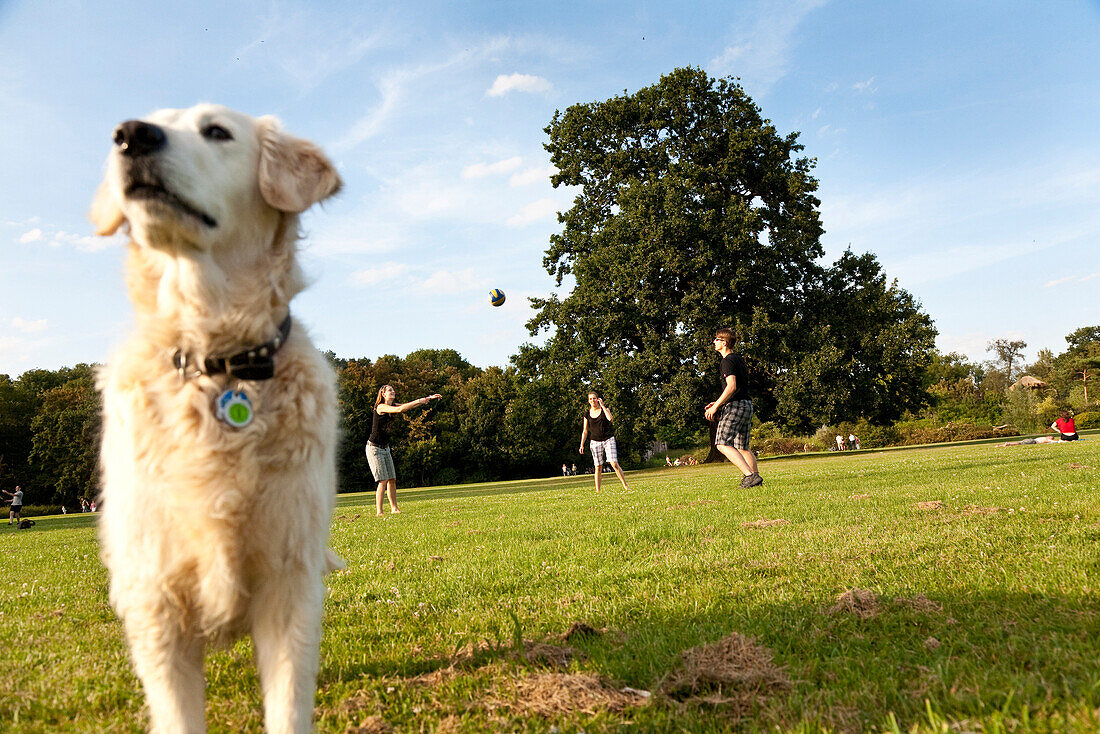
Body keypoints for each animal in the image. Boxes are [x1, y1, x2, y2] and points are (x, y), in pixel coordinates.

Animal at [93, 104, 343, 734]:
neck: (217, 362)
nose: (131, 135)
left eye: (217, 132)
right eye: (144, 123)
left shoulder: (288, 581)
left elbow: (288, 705)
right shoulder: (155, 599)